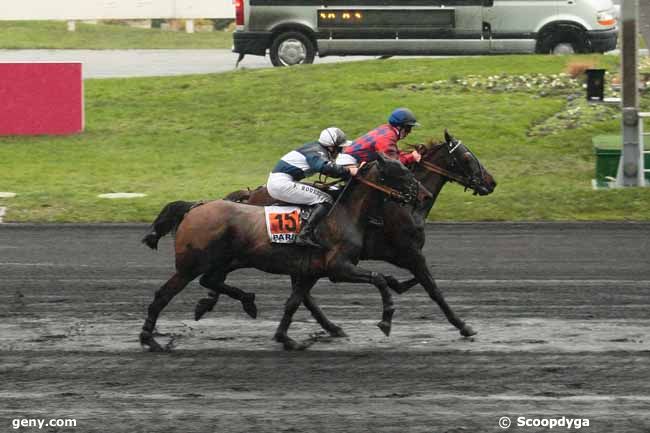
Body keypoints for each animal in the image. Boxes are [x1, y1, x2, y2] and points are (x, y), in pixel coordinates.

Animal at [139, 154, 428, 350]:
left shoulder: (312, 272)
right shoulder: (339, 268)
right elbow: (379, 279)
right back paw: (149, 339)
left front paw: (285, 338)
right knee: (164, 294)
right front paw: (386, 320)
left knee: (210, 281)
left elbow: (293, 302)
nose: (422, 194)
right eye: (401, 171)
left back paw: (246, 301)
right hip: (191, 265)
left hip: (223, 260)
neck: (344, 214)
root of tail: (195, 207)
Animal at [200, 128, 494, 338]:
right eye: (467, 157)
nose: (491, 183)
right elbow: (432, 288)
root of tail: (250, 194)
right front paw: (463, 325)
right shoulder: (409, 253)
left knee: (299, 292)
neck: (405, 205)